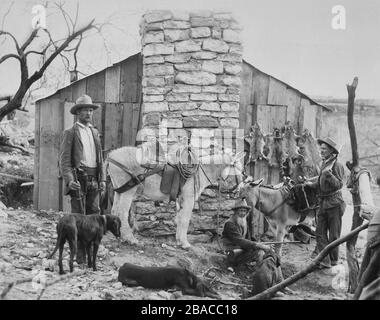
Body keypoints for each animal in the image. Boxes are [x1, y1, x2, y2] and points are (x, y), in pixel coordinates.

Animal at [107, 144, 243, 249]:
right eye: (237, 167)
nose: (241, 188)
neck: (199, 171)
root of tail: (112, 156)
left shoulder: (181, 200)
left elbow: (179, 219)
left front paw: (179, 241)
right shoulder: (189, 199)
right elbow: (185, 220)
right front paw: (185, 243)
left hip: (119, 192)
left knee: (114, 211)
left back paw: (119, 236)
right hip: (128, 192)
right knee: (122, 213)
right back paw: (130, 239)